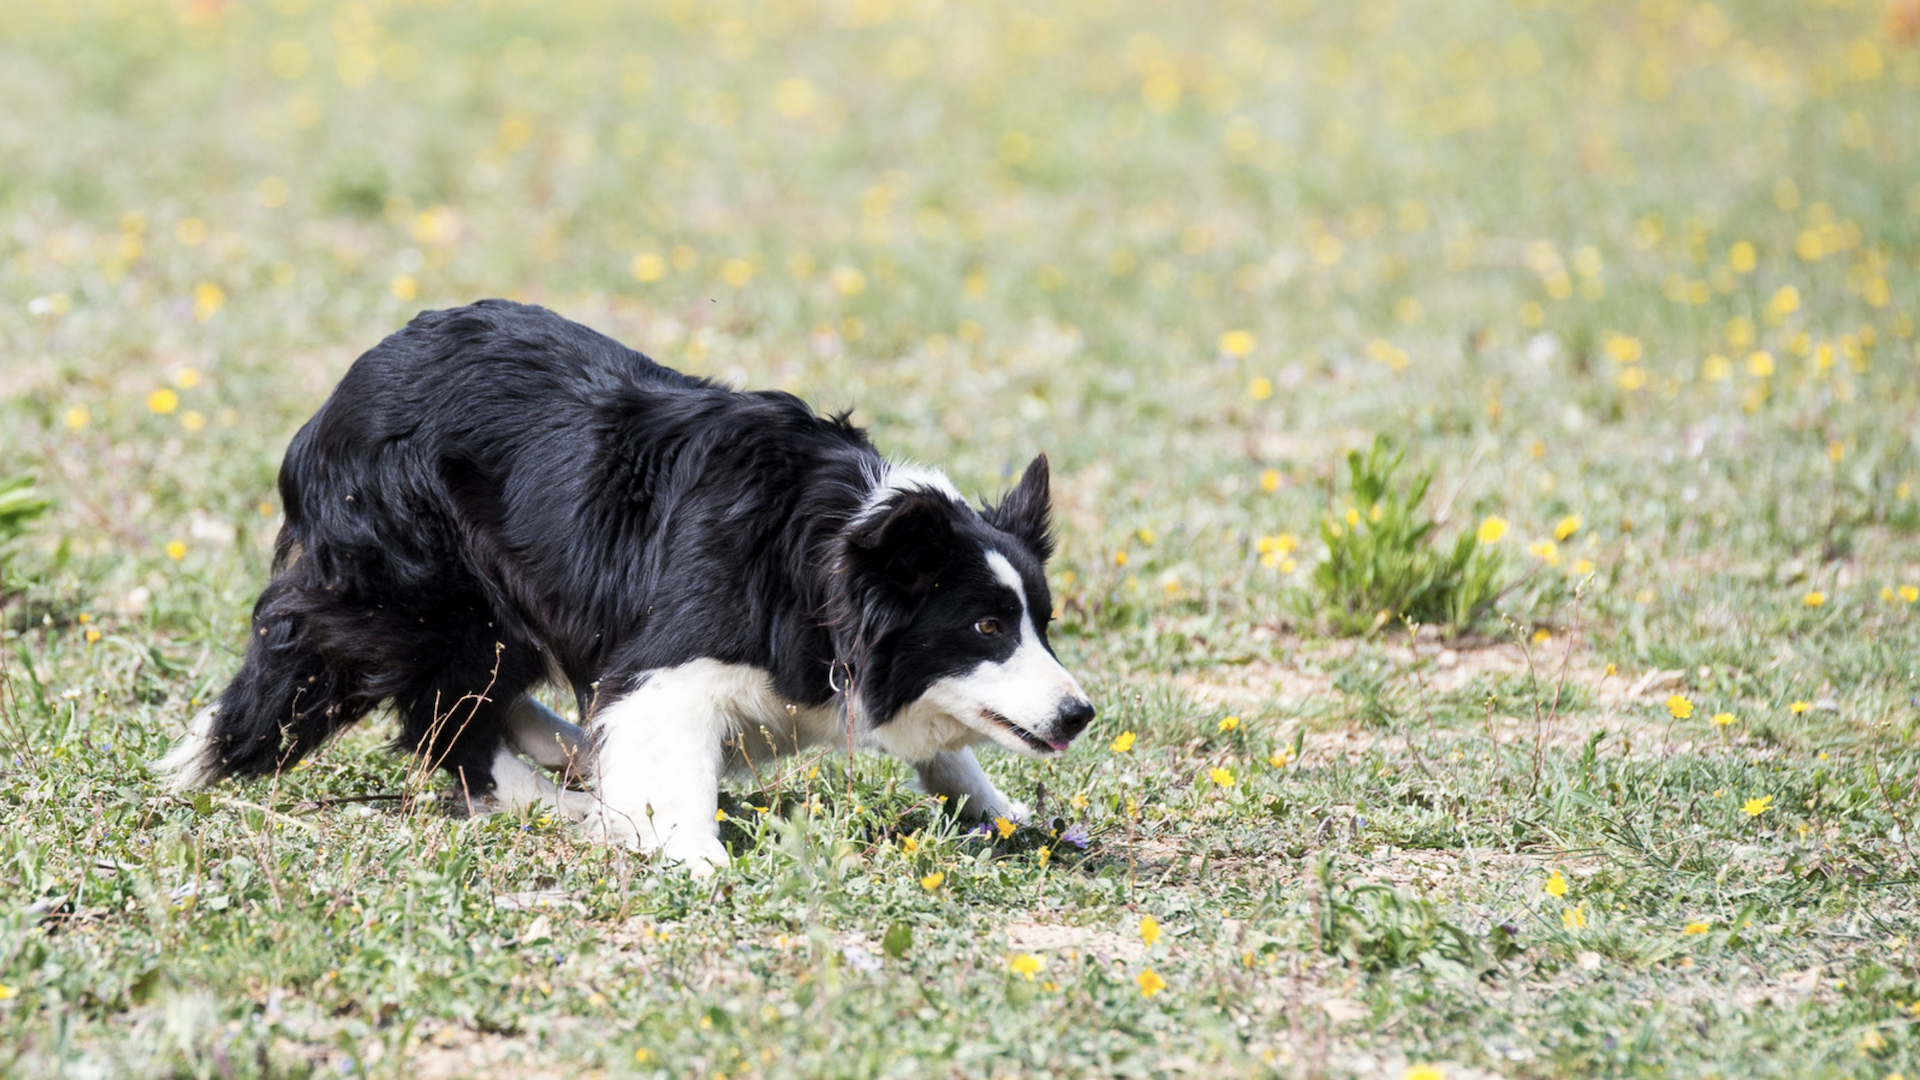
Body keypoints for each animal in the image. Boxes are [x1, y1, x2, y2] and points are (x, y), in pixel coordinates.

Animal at [157, 297, 1098, 868]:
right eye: (985, 627)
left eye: (1042, 623)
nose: (1079, 714)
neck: (840, 547)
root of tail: (338, 397)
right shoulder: (679, 647)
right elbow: (660, 728)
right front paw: (694, 854)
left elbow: (950, 752)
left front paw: (1012, 814)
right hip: (430, 575)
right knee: (448, 719)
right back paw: (565, 802)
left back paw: (569, 750)